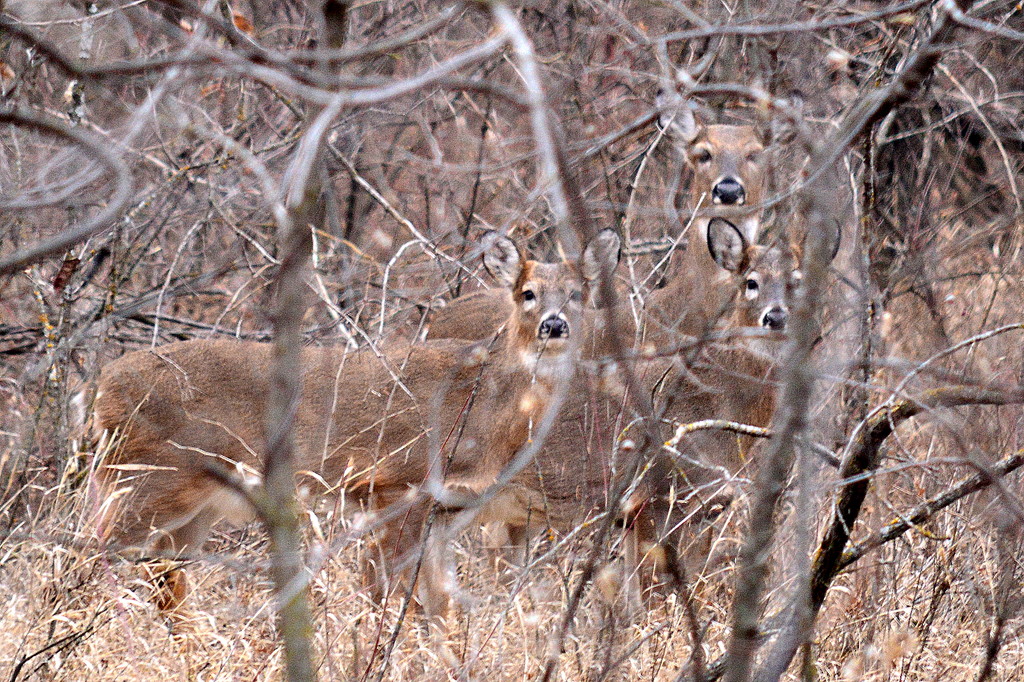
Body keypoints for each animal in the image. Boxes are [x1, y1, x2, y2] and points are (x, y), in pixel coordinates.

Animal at [88, 227, 618, 614]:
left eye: (578, 293)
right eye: (527, 293)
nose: (554, 324)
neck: (482, 406)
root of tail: (100, 387)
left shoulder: (446, 508)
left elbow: (437, 602)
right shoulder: (397, 483)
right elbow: (386, 591)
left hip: (195, 506)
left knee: (164, 580)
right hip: (144, 480)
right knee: (90, 552)